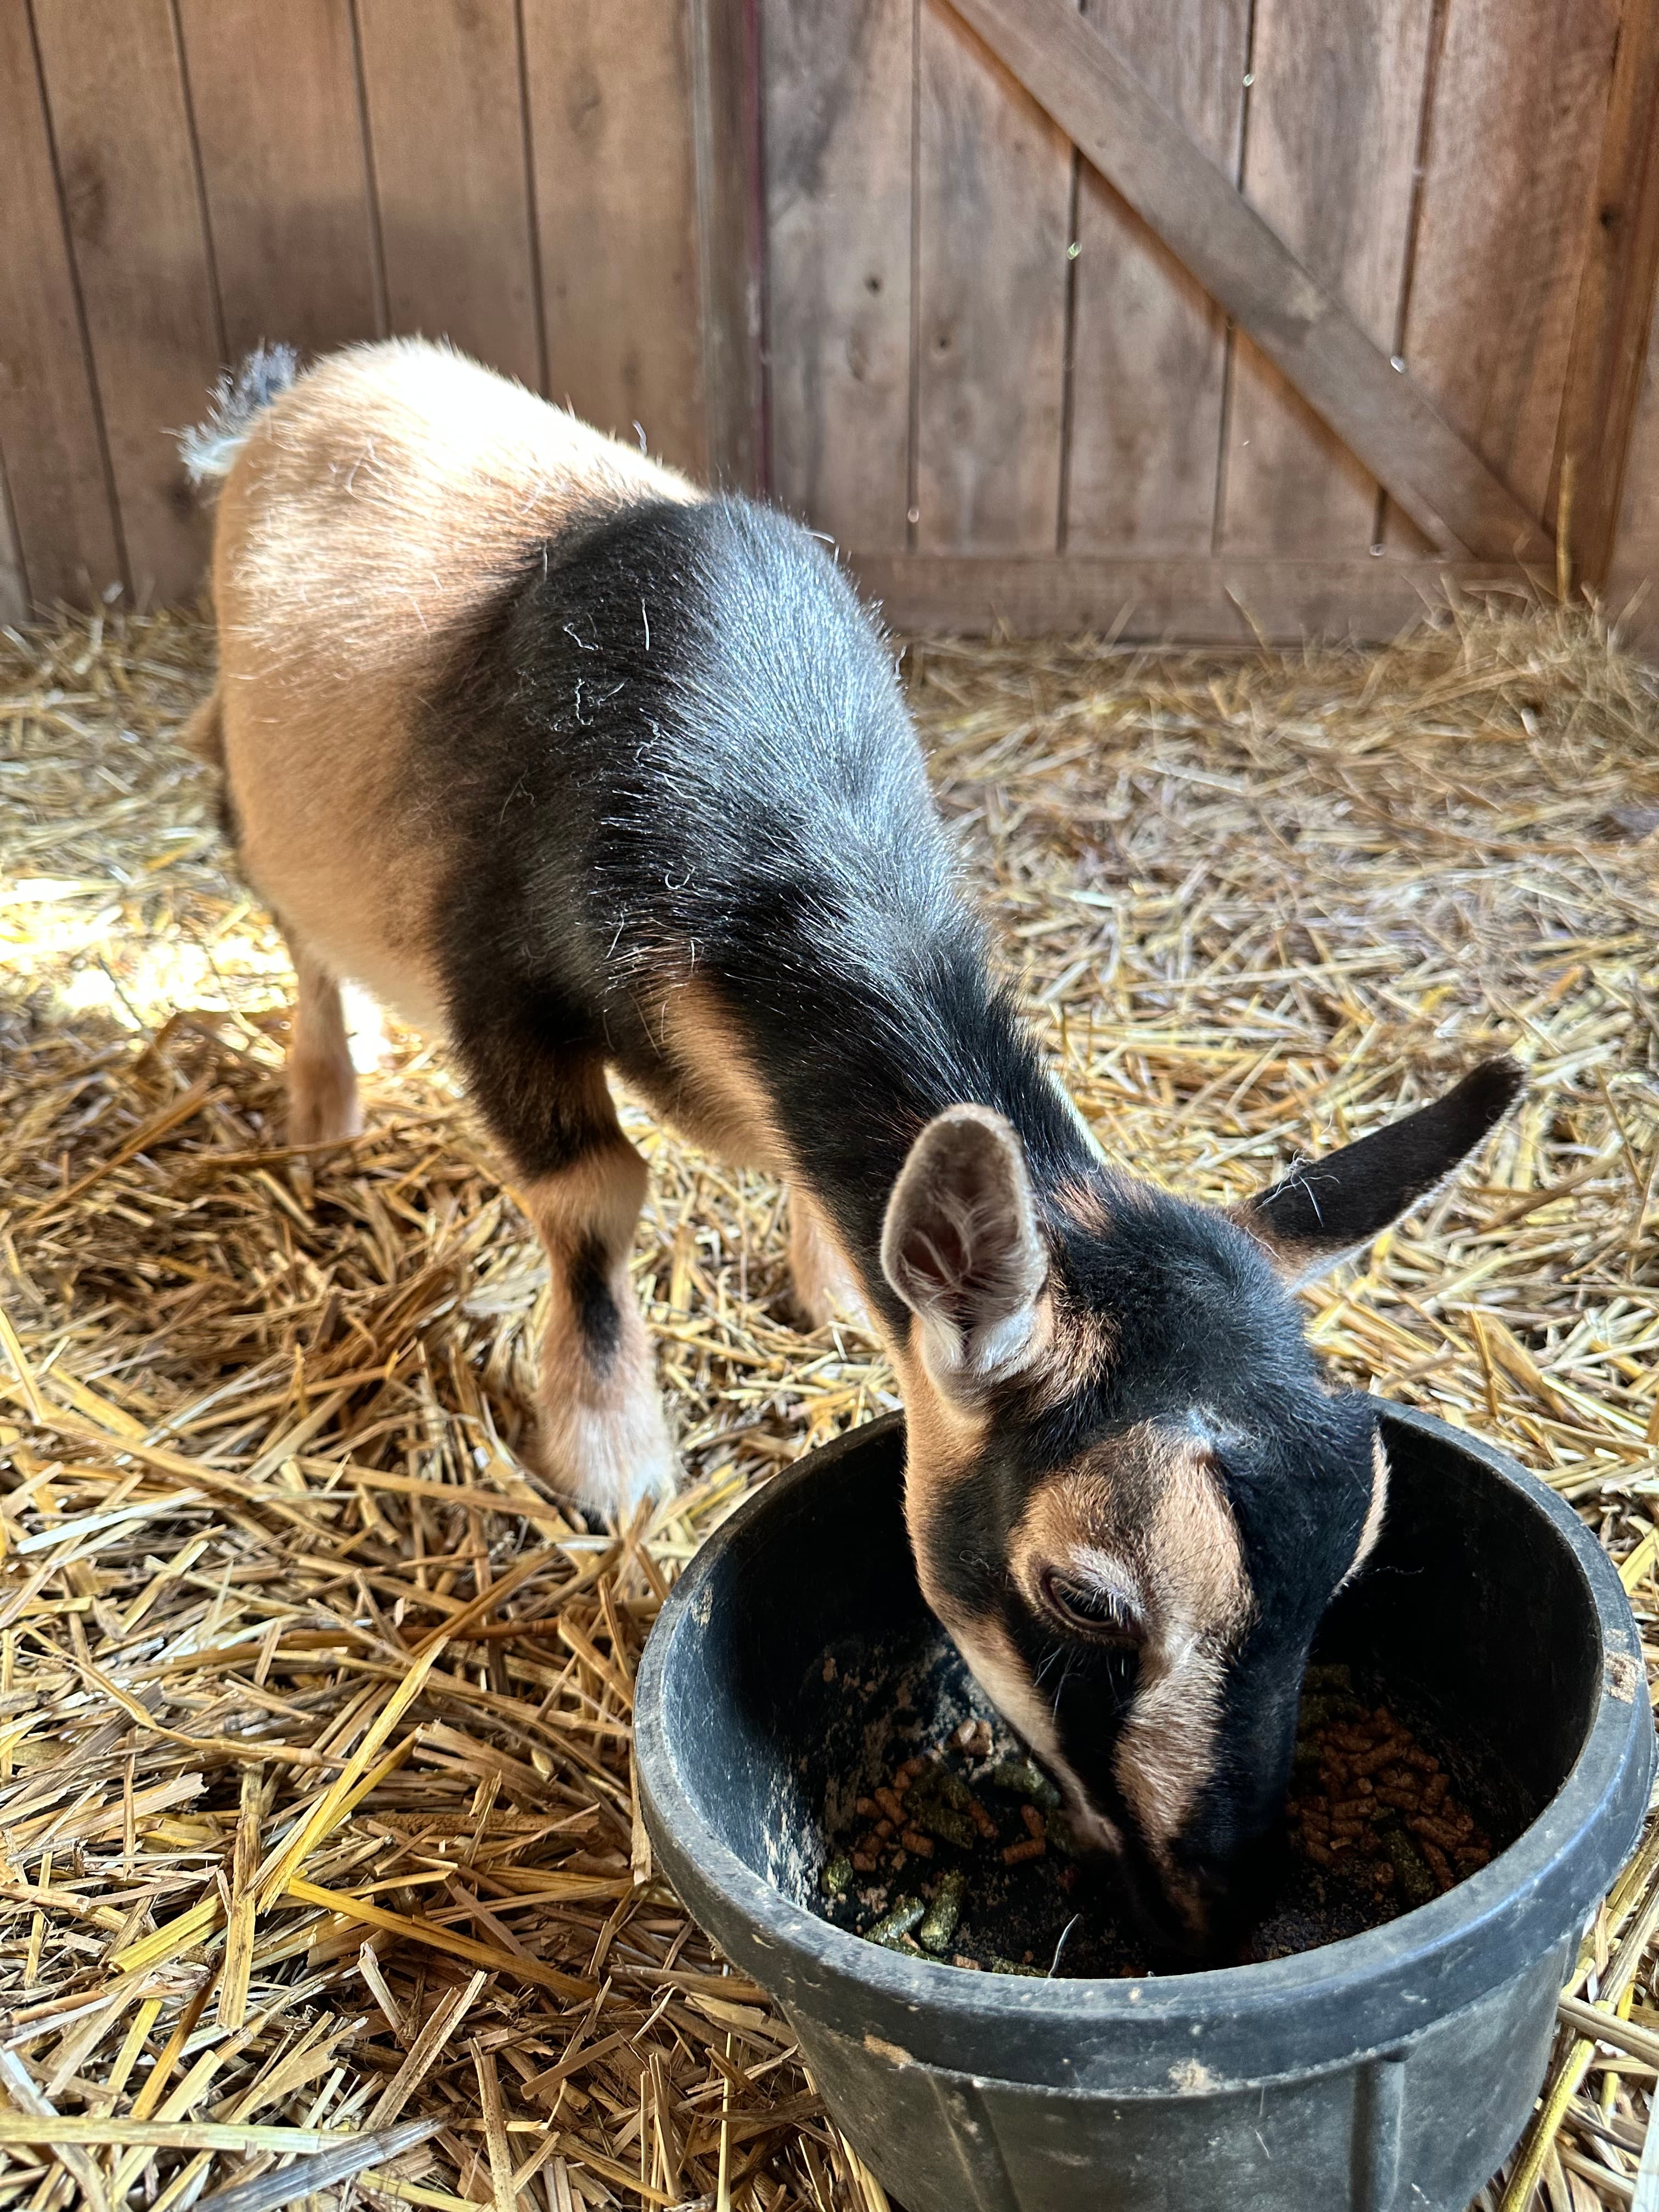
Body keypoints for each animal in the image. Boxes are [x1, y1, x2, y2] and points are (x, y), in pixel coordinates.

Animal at [180, 339, 1520, 1953]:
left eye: (1352, 1567)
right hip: (259, 797)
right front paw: (612, 1459)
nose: (1220, 1899)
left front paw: (828, 1292)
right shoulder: (500, 984)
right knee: (292, 925)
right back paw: (323, 1105)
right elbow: (594, 1196)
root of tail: (301, 391)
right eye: (1086, 1601)